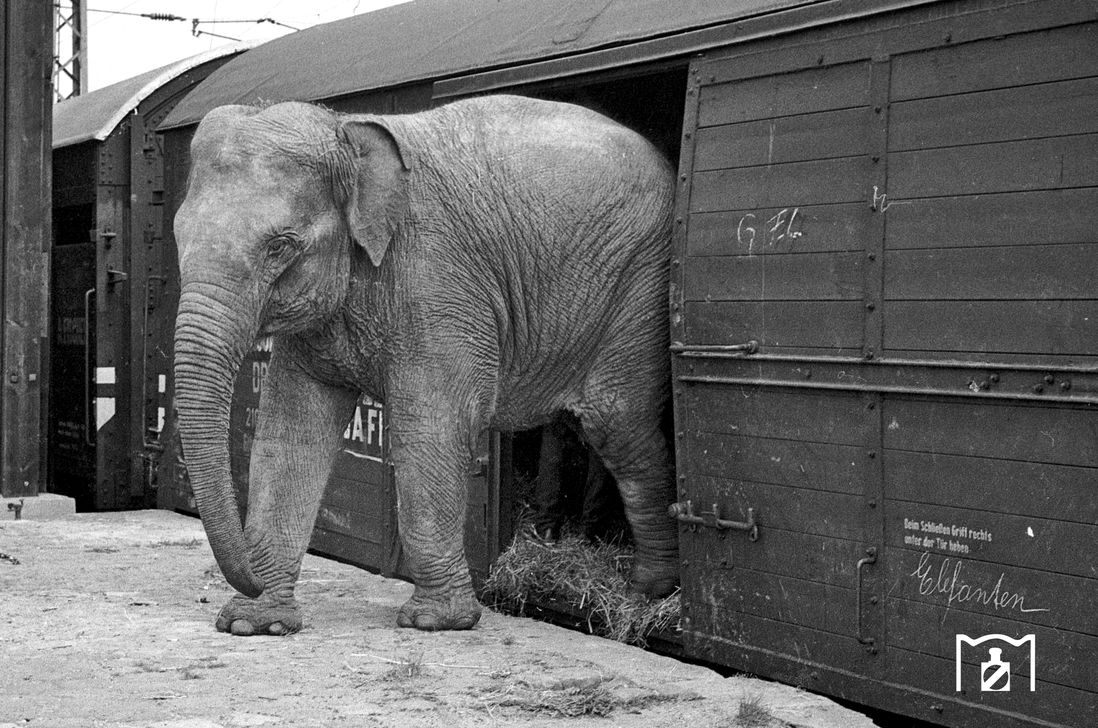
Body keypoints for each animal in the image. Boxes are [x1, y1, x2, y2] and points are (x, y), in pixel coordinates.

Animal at [173, 93, 676, 636]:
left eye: (280, 246)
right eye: (177, 237)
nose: (246, 579)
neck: (345, 131)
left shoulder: (437, 276)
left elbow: (432, 422)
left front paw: (435, 621)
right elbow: (291, 427)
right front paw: (253, 624)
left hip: (642, 284)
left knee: (617, 423)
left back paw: (649, 593)